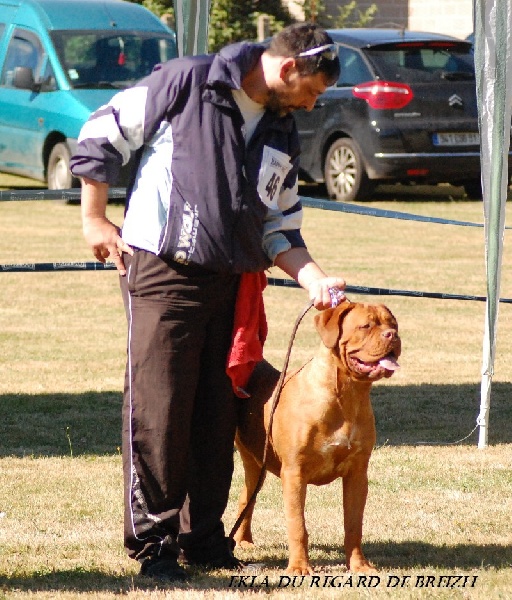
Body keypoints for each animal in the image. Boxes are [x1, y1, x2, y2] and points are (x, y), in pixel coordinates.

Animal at [234, 302, 402, 576]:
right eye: (366, 326)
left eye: (393, 324)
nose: (392, 336)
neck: (346, 395)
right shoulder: (294, 473)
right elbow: (297, 525)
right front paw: (299, 567)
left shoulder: (357, 473)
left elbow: (353, 525)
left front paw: (359, 565)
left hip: (256, 462)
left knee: (247, 496)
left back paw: (242, 541)